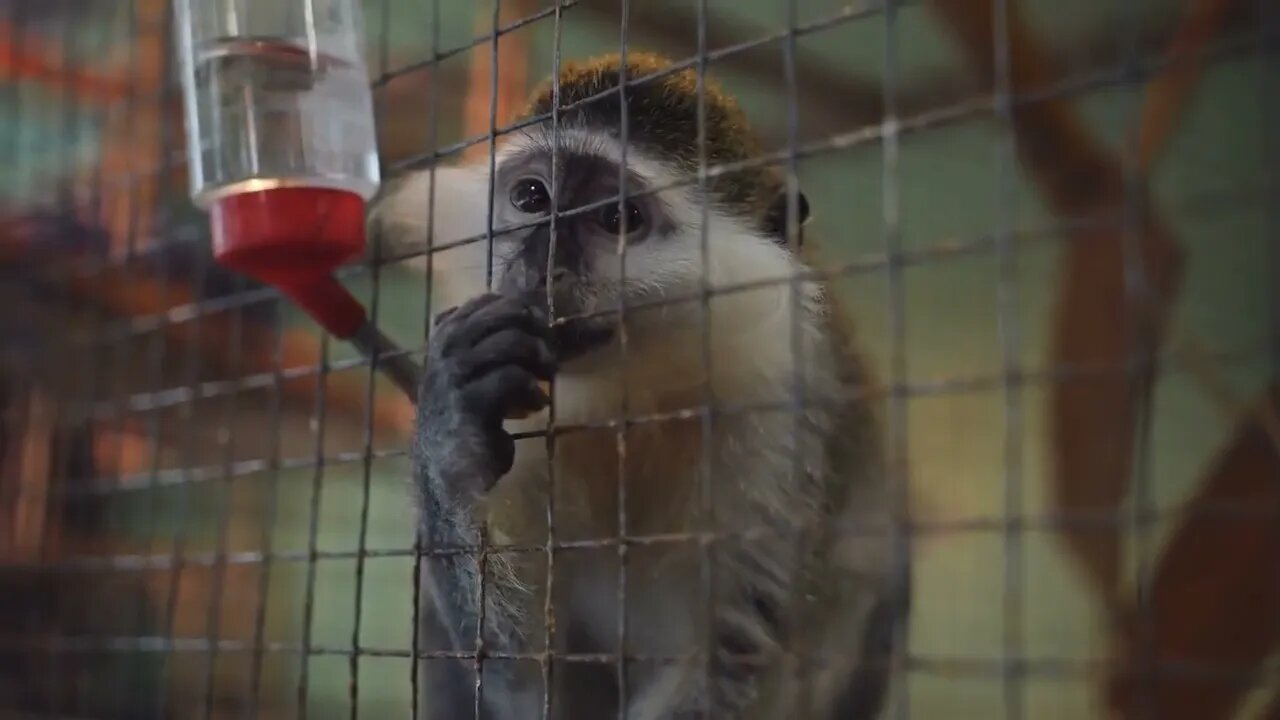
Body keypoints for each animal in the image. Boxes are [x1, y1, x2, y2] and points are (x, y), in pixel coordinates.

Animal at [373, 51, 911, 717]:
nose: (539, 268)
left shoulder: (786, 404)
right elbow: (524, 677)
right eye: (532, 197)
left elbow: (737, 644)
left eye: (618, 218)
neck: (638, 383)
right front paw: (453, 437)